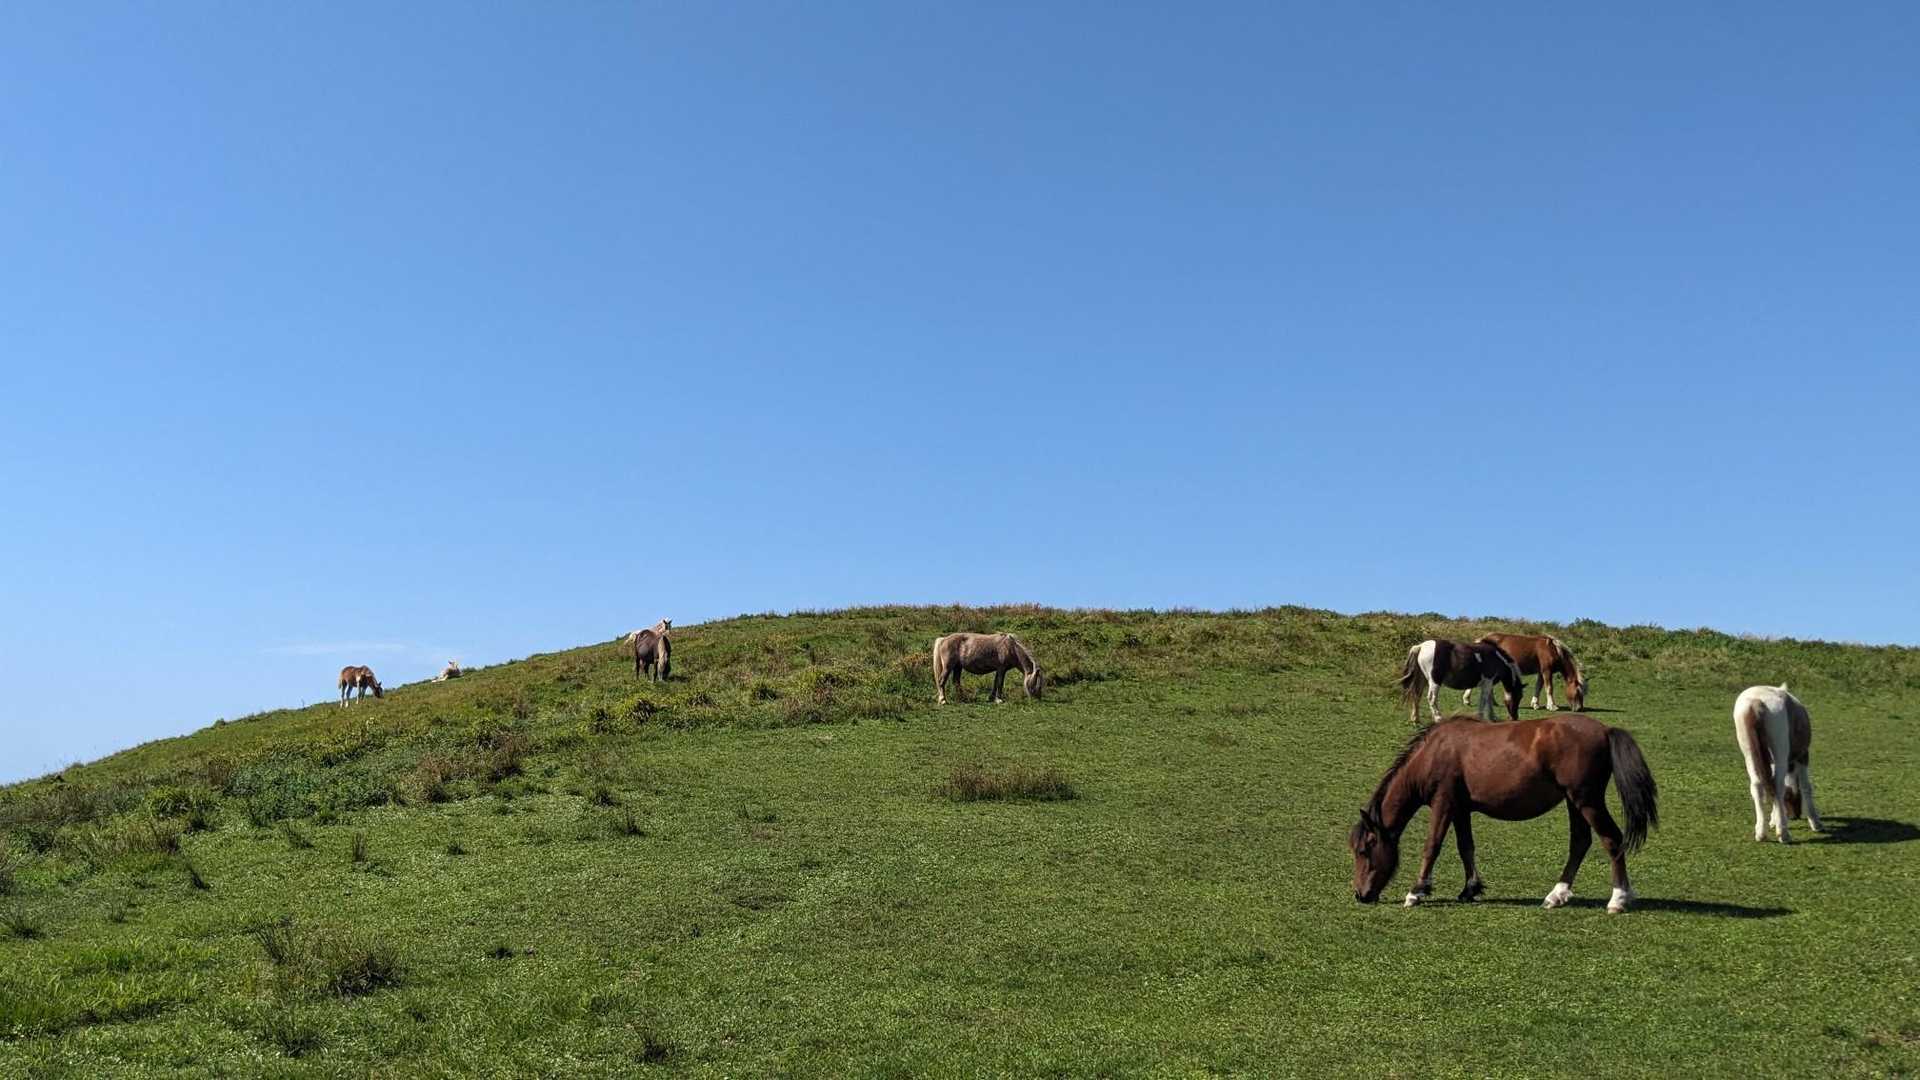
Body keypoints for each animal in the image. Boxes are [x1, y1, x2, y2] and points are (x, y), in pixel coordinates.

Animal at [1348, 714, 1659, 914]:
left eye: (1365, 850)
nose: (1360, 894)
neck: (1433, 753)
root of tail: (1605, 730)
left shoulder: (1443, 803)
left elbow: (1432, 847)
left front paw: (1416, 891)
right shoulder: (1461, 808)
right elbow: (1466, 847)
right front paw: (1470, 888)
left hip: (1587, 800)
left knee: (1612, 839)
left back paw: (1618, 898)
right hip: (1574, 802)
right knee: (1580, 843)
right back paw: (1557, 895)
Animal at [1733, 684, 1822, 843]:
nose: (1794, 815)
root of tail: (1757, 701)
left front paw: (1773, 820)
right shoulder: (1803, 756)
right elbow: (1806, 786)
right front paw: (1815, 822)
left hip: (1749, 753)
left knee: (1758, 785)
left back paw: (1761, 832)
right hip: (1780, 752)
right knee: (1777, 785)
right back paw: (1783, 833)